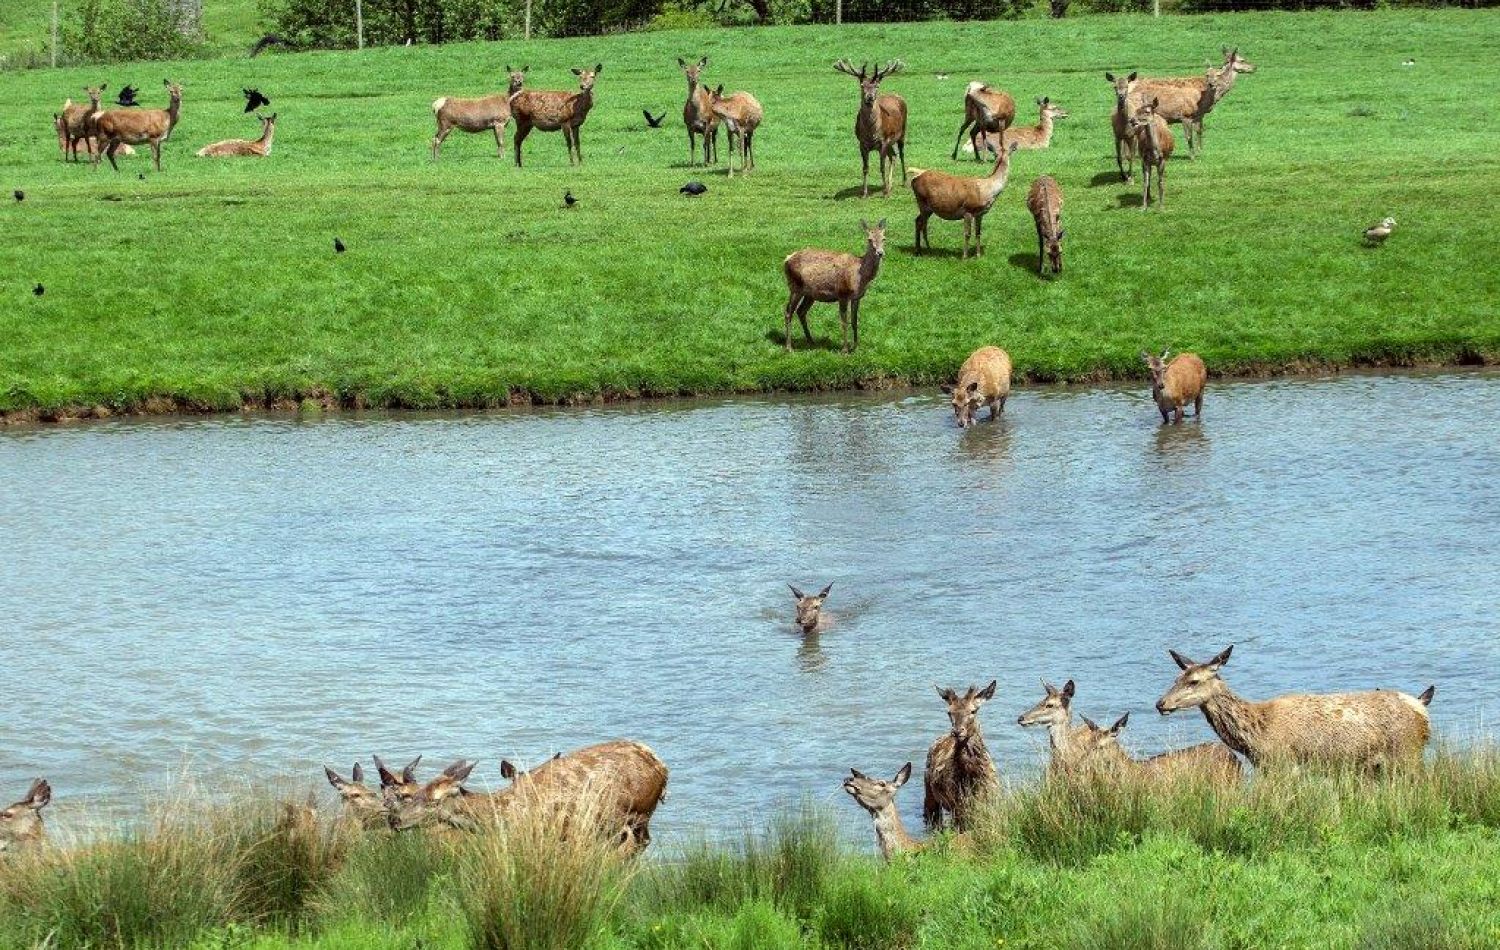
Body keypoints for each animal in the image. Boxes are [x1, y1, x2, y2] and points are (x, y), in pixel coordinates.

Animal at [780, 216, 882, 354]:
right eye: (869, 239)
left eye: (884, 238)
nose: (880, 252)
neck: (859, 276)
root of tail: (787, 259)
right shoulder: (843, 293)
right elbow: (844, 321)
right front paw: (844, 350)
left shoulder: (857, 297)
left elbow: (854, 321)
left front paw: (855, 347)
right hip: (795, 287)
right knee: (788, 312)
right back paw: (789, 347)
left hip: (810, 294)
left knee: (801, 311)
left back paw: (811, 341)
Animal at [828, 58, 906, 198]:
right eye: (862, 85)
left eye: (876, 86)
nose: (870, 97)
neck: (871, 132)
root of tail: (898, 96)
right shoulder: (862, 143)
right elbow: (865, 168)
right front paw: (864, 193)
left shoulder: (883, 142)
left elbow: (881, 167)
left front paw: (884, 192)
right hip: (890, 142)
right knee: (893, 156)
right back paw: (890, 185)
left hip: (902, 132)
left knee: (901, 154)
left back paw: (903, 181)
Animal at [918, 678, 1002, 828]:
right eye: (949, 712)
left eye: (973, 711)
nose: (957, 731)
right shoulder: (958, 806)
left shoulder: (991, 800)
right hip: (929, 791)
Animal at [1152, 642, 1434, 774]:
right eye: (1176, 678)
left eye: (1194, 681)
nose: (1160, 703)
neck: (1256, 736)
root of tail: (1423, 712)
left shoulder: (1285, 762)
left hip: (1407, 752)